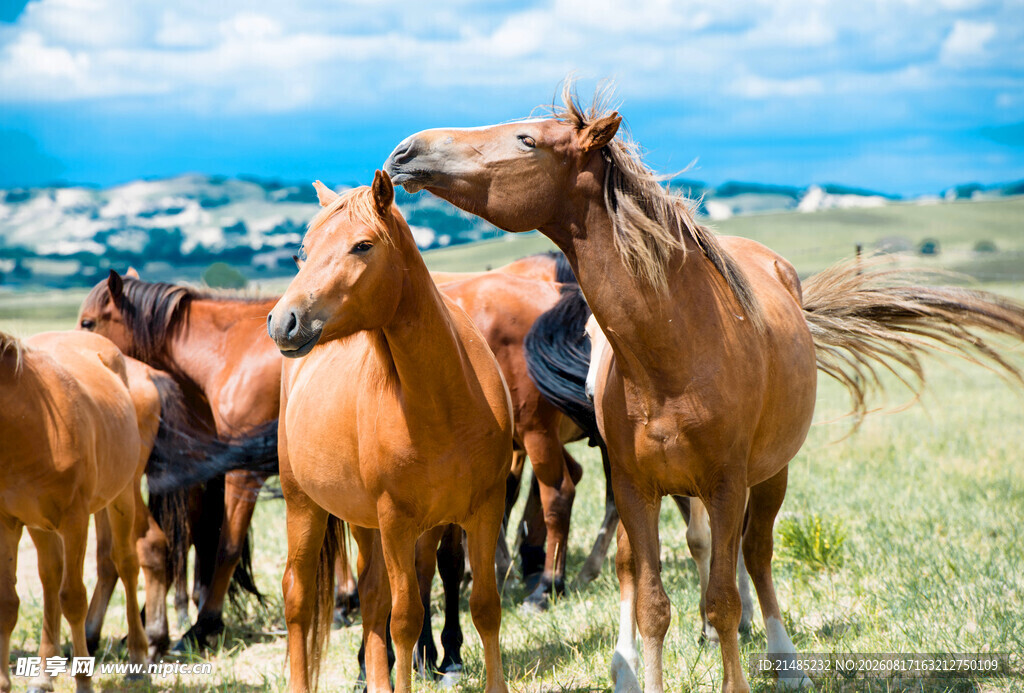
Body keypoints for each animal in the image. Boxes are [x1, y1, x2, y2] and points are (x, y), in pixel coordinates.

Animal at [0, 329, 148, 693]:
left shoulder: (75, 520)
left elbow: (74, 599)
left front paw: (83, 680)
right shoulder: (7, 522)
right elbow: (8, 604)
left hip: (122, 497)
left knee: (126, 564)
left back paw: (138, 660)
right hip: (38, 524)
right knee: (50, 577)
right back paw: (43, 675)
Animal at [267, 172, 513, 693]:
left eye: (362, 245)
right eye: (302, 251)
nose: (283, 321)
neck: (444, 402)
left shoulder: (484, 509)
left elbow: (484, 606)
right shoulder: (397, 522)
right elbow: (405, 619)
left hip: (365, 523)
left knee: (372, 595)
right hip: (304, 506)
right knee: (299, 597)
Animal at [383, 82, 1024, 693]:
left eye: (526, 140)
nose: (405, 151)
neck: (675, 351)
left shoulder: (725, 484)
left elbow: (723, 598)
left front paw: (735, 667)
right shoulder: (638, 488)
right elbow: (652, 603)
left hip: (770, 475)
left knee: (756, 556)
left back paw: (784, 658)